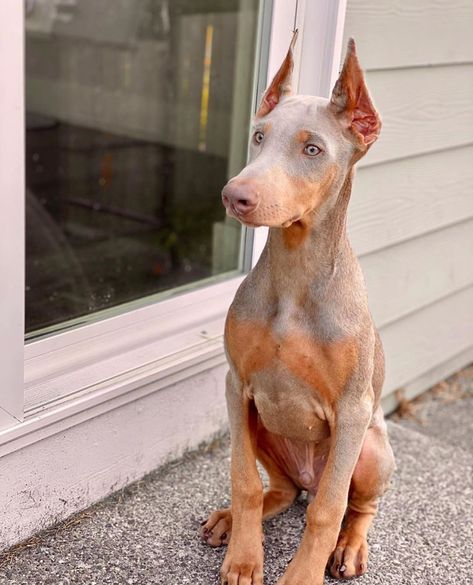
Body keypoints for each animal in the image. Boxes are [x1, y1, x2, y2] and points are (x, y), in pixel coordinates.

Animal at [199, 34, 394, 584]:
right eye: (259, 137)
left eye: (313, 149)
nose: (234, 195)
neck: (295, 274)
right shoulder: (237, 385)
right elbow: (243, 479)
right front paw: (245, 559)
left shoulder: (352, 408)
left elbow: (327, 510)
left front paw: (302, 574)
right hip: (263, 427)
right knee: (283, 492)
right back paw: (230, 518)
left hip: (371, 448)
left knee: (352, 504)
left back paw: (350, 547)